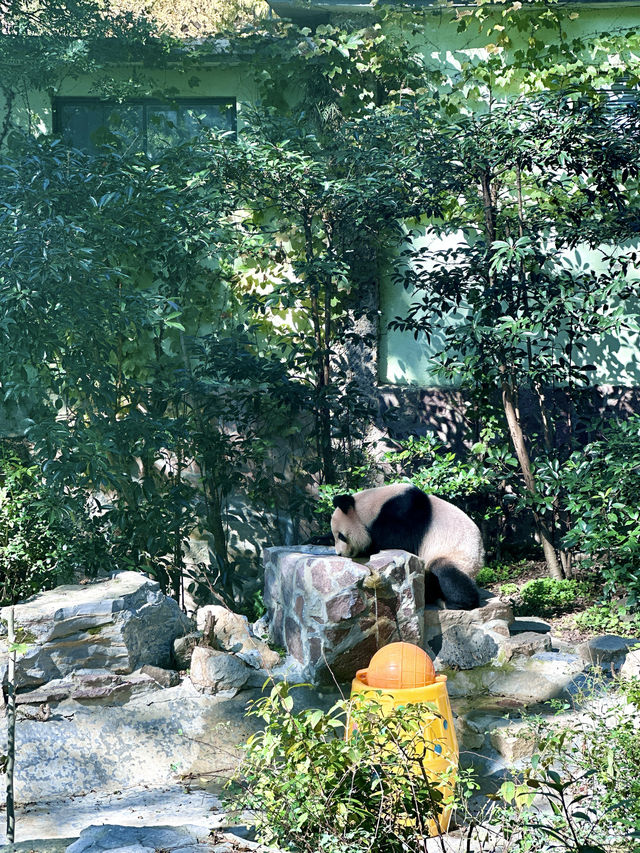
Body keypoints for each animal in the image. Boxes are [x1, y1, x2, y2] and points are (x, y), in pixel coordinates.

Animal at [332, 482, 482, 608]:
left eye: (341, 536)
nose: (340, 553)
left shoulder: (402, 514)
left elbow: (395, 543)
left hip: (460, 558)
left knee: (447, 573)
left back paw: (455, 603)